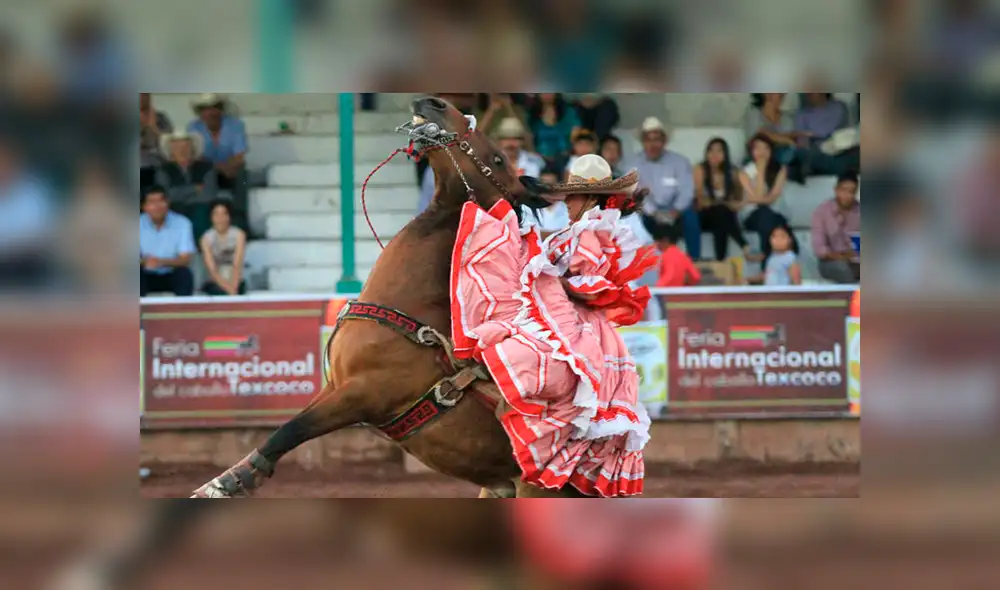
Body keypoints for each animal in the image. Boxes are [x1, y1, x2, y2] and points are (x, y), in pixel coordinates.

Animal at [191, 96, 589, 498]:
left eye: (498, 159)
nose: (435, 103)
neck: (414, 314)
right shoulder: (336, 385)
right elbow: (293, 423)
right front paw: (235, 475)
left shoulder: (362, 394)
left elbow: (292, 429)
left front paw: (223, 484)